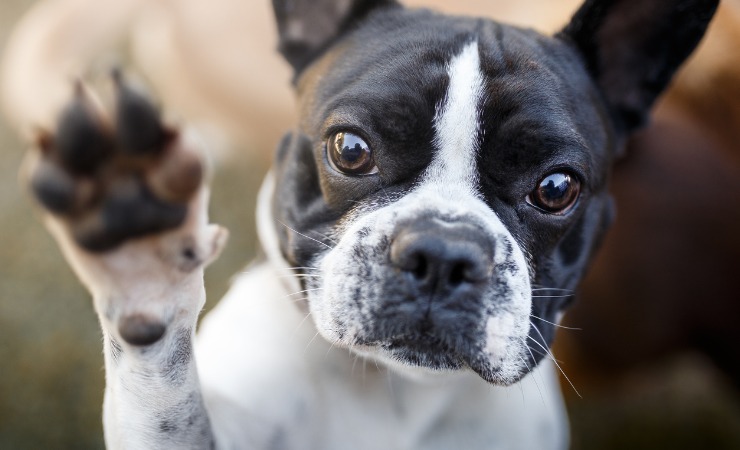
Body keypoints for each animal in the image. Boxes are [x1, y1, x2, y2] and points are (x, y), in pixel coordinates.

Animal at [23, 0, 716, 448]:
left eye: (556, 188)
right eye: (350, 150)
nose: (444, 253)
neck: (395, 390)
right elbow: (166, 393)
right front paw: (140, 252)